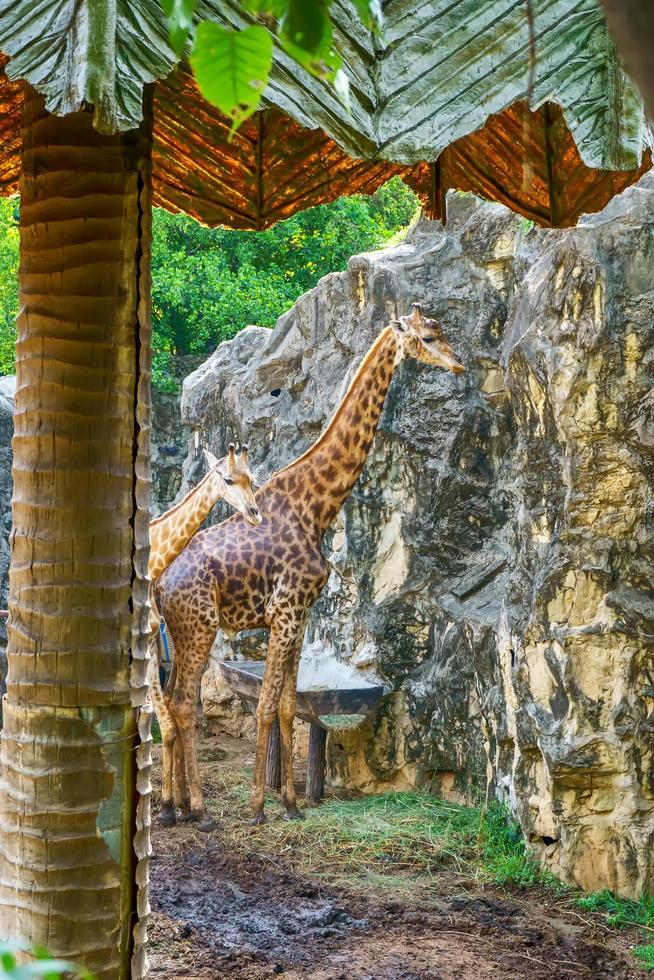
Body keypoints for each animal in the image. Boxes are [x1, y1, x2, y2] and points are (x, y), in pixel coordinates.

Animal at [147, 440, 262, 824]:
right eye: (227, 478)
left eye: (252, 478)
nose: (255, 513)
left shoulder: (151, 637)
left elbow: (165, 722)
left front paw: (173, 806)